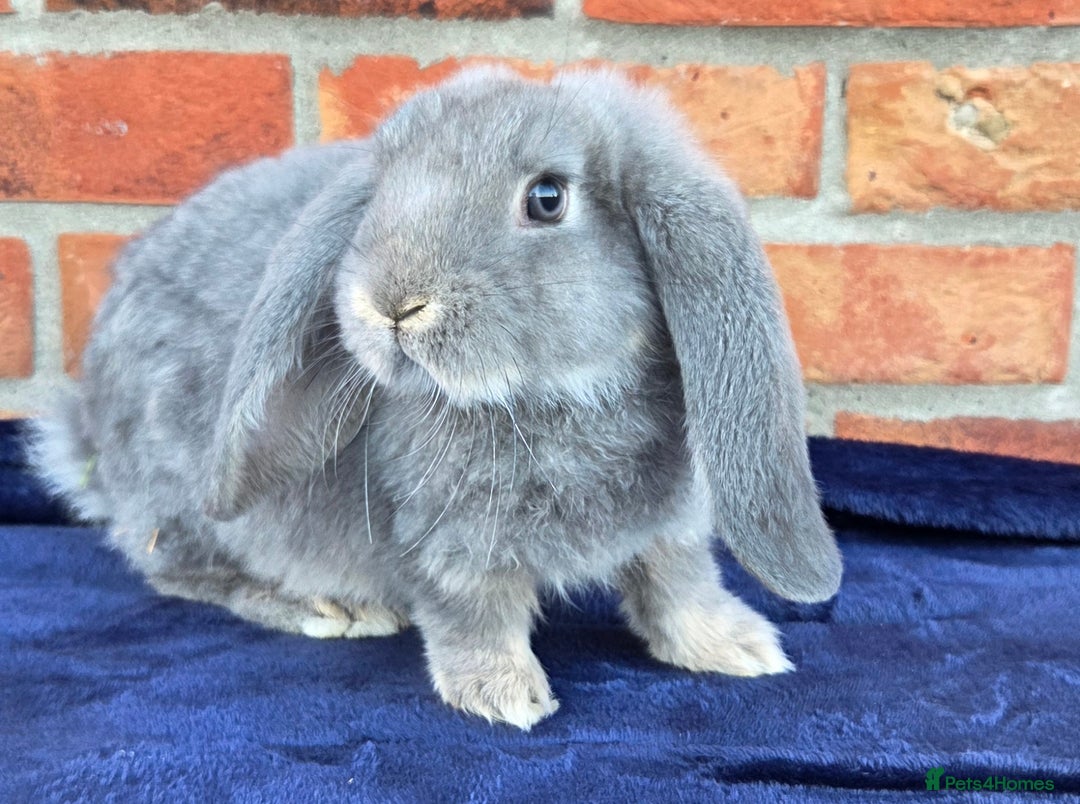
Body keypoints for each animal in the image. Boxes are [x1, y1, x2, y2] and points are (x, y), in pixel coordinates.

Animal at [29, 66, 842, 730]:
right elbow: (473, 615)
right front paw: (503, 696)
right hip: (186, 502)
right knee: (176, 570)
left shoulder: (670, 530)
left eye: (548, 198)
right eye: (382, 191)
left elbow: (680, 589)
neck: (541, 402)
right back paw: (327, 609)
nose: (391, 303)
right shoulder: (450, 545)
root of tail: (89, 427)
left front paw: (739, 648)